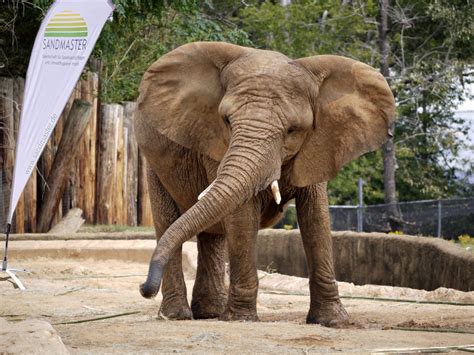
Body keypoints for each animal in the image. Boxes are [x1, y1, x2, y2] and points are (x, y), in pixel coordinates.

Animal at [134, 40, 396, 326]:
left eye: (293, 129)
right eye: (226, 120)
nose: (143, 288)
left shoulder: (319, 144)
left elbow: (316, 217)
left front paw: (332, 321)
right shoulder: (214, 143)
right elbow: (242, 214)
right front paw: (241, 319)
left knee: (211, 233)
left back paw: (209, 313)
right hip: (153, 160)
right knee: (169, 220)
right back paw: (177, 315)